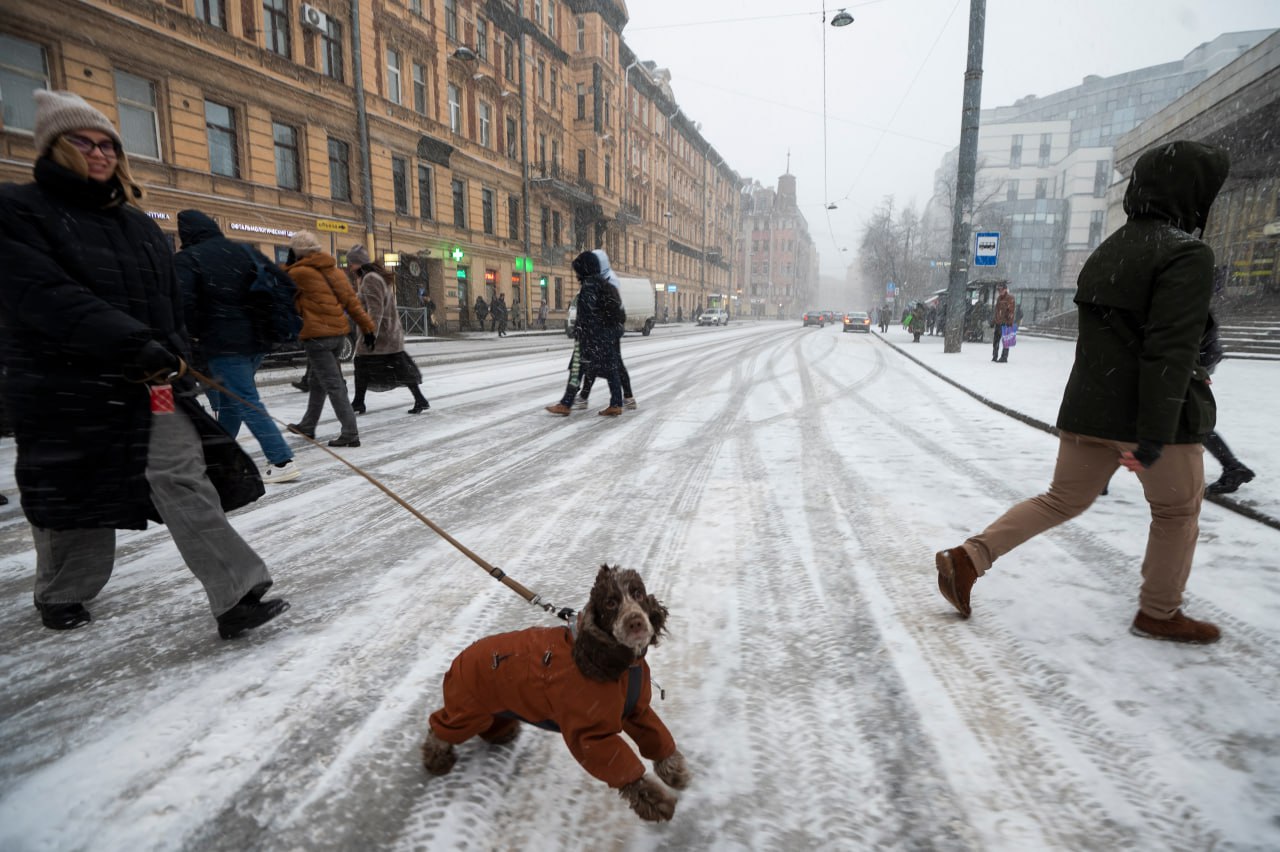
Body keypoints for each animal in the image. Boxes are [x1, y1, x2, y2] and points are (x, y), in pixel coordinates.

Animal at [422, 562, 691, 818]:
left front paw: (675, 773)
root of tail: (457, 658)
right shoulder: (589, 735)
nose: (635, 622)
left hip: (489, 707)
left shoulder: (637, 709)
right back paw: (436, 760)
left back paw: (502, 734)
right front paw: (657, 805)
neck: (619, 664)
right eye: (610, 602)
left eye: (638, 593)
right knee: (439, 727)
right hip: (467, 710)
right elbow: (627, 774)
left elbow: (657, 737)